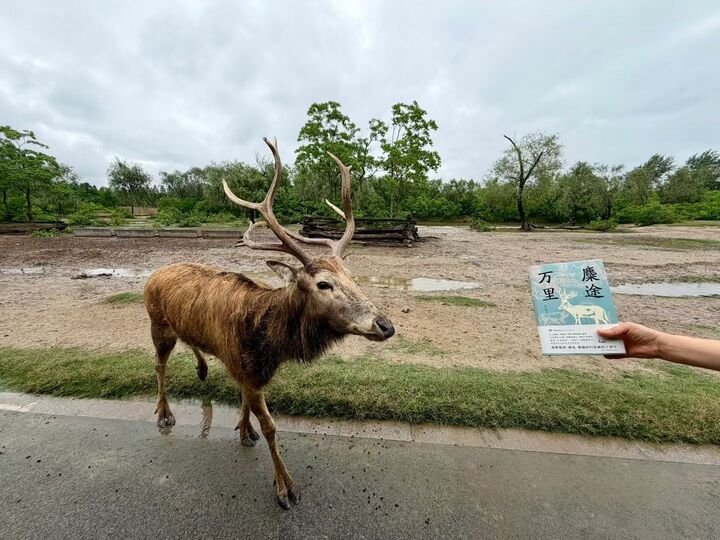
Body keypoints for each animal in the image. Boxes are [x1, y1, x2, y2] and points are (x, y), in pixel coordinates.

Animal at [143, 138, 395, 509]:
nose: (385, 325)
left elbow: (247, 405)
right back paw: (164, 413)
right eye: (323, 284)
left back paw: (202, 370)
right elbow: (272, 427)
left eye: (352, 276)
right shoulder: (245, 367)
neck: (271, 344)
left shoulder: (249, 371)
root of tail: (153, 274)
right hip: (157, 324)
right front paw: (285, 488)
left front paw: (244, 430)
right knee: (159, 365)